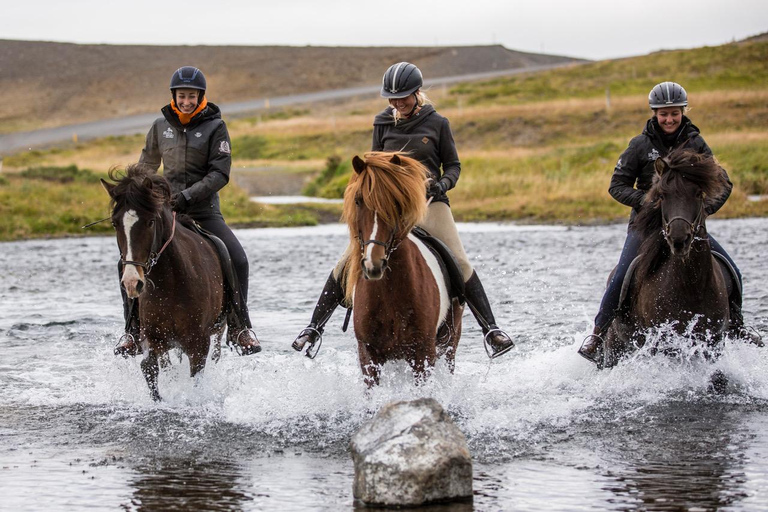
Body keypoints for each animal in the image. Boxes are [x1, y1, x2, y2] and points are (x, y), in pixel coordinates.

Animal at [101, 164, 227, 401]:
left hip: (218, 331)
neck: (172, 282)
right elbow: (149, 368)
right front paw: (159, 400)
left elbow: (196, 379)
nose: (132, 282)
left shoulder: (199, 344)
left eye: (150, 221)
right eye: (115, 223)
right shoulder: (153, 338)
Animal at [341, 152, 464, 387]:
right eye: (358, 200)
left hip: (449, 344)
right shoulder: (368, 352)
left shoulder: (423, 353)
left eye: (395, 202)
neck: (390, 292)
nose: (373, 264)